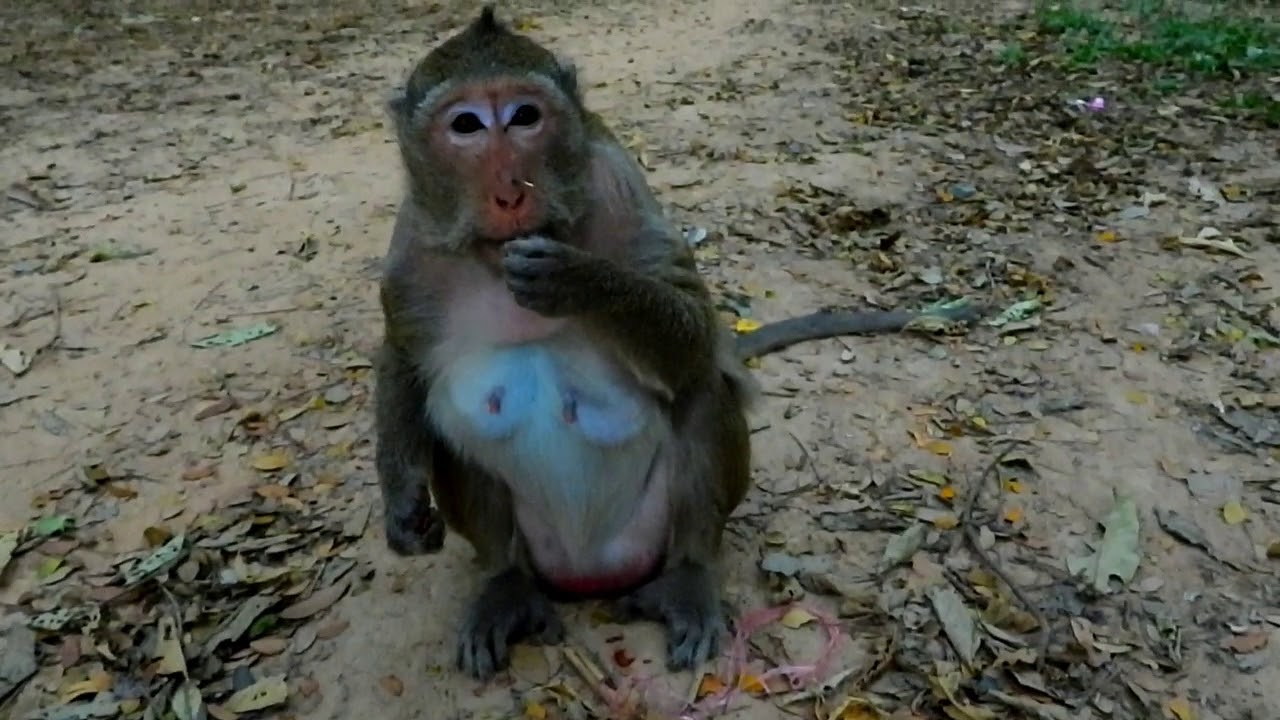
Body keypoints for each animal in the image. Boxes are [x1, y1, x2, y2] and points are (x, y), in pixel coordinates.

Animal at [373, 6, 983, 681]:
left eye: (525, 116)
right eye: (466, 125)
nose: (511, 191)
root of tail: (590, 575)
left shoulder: (619, 187)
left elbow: (693, 333)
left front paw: (581, 281)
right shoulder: (414, 249)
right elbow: (404, 359)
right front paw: (402, 502)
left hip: (651, 535)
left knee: (703, 391)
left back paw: (687, 578)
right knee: (453, 428)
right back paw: (505, 586)